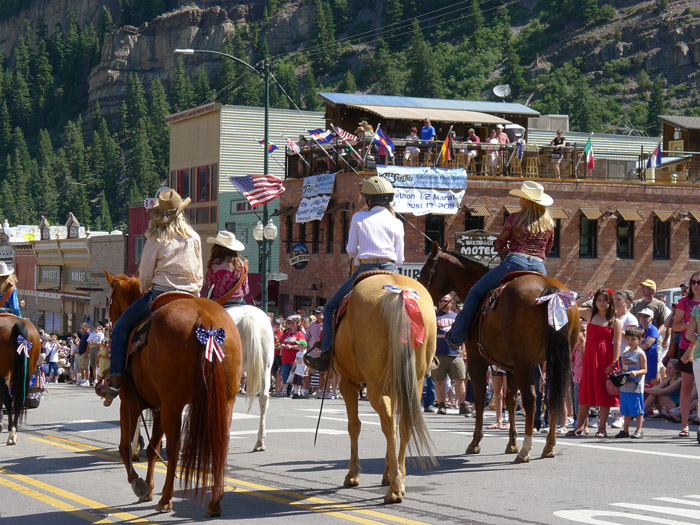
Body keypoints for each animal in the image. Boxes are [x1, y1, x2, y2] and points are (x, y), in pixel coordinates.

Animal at [0, 314, 40, 444]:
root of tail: (17, 322)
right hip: (27, 372)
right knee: (18, 401)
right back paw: (14, 432)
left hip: (4, 372)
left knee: (8, 400)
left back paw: (10, 432)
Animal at [104, 270, 243, 516]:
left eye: (110, 301)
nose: (108, 326)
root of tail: (205, 318)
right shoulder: (158, 408)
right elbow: (152, 449)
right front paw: (148, 488)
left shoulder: (129, 403)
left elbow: (125, 447)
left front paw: (138, 484)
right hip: (224, 402)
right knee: (220, 444)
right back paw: (214, 502)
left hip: (173, 404)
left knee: (175, 447)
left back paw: (166, 498)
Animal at [330, 272, 434, 502]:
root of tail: (400, 294)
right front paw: (388, 472)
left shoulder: (347, 384)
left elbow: (354, 425)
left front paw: (353, 475)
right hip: (414, 382)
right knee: (403, 424)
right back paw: (398, 479)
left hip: (374, 386)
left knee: (387, 422)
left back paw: (394, 488)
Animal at [418, 244, 576, 460]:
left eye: (424, 271)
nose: (420, 294)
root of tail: (551, 293)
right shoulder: (510, 366)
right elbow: (510, 399)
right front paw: (512, 443)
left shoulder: (476, 360)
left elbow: (479, 397)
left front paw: (475, 442)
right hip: (554, 361)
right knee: (554, 396)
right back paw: (549, 446)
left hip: (525, 363)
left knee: (531, 399)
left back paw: (526, 449)